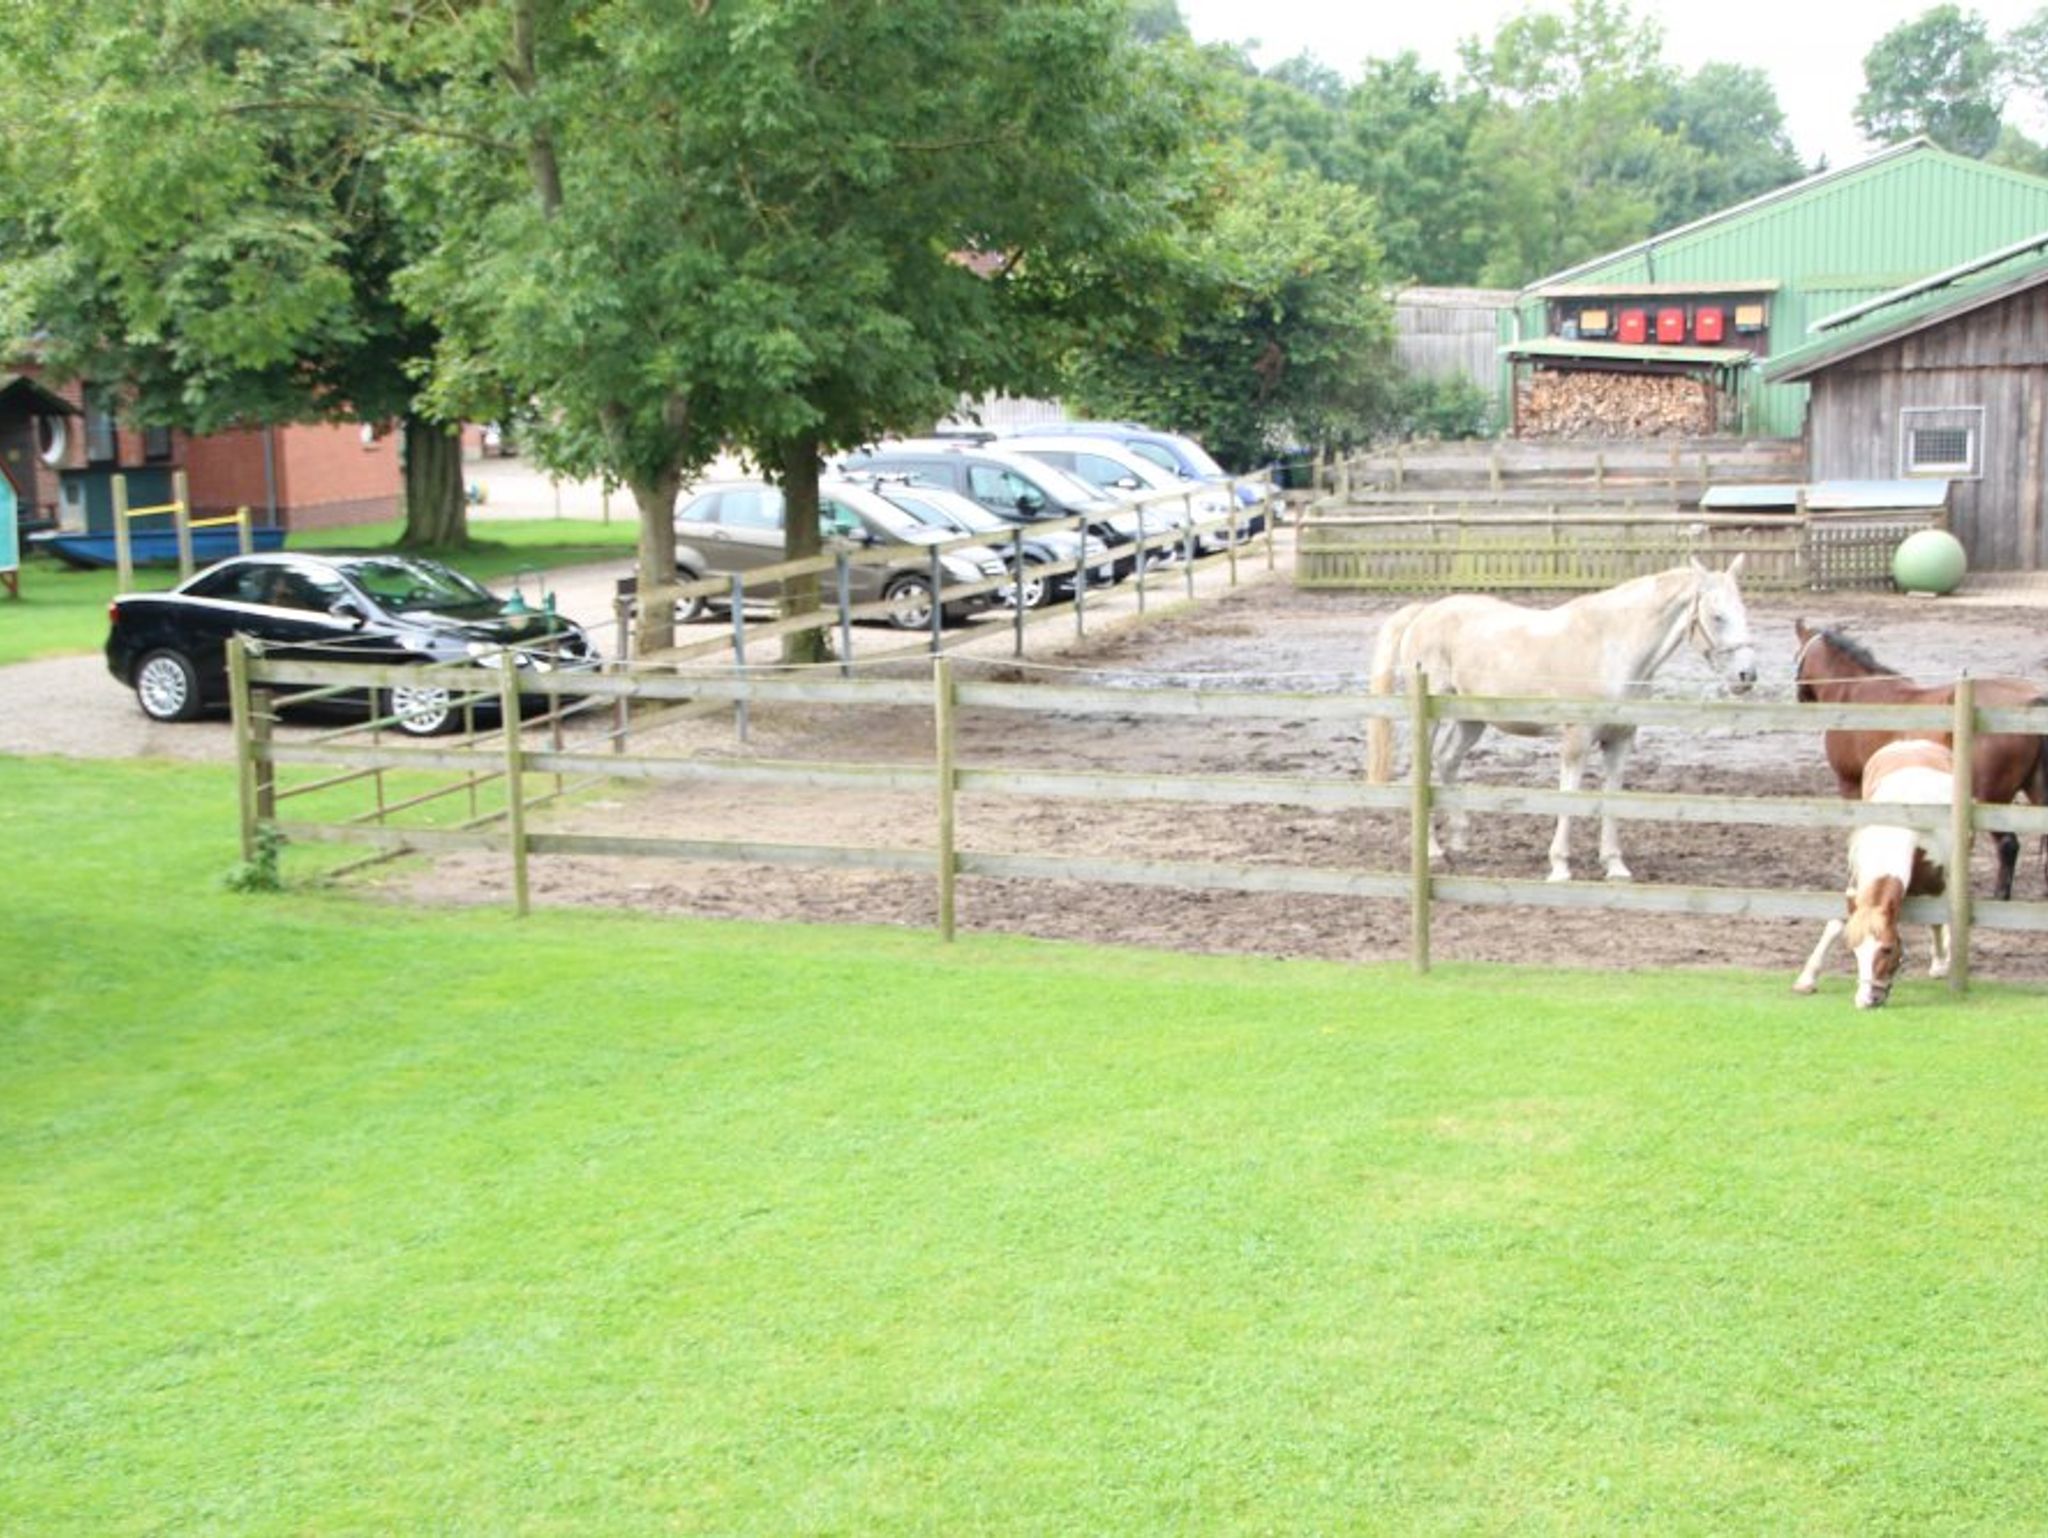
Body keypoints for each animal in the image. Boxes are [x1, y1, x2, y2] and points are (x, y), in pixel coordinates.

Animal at [1359, 561, 1761, 884]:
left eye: (1743, 610)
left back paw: (1460, 839)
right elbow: (1569, 797)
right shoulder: (1576, 740)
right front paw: (1560, 867)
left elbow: (1611, 798)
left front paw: (1615, 866)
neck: (1611, 648)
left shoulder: (1620, 740)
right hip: (1433, 718)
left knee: (1447, 762)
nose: (1746, 675)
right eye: (1717, 616)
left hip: (1472, 719)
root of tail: (1423, 613)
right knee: (1423, 770)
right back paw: (1434, 851)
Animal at [1794, 618, 2048, 901]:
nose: (1800, 696)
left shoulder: (1851, 784)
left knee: (2007, 845)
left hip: (1990, 799)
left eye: (1797, 656)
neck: (1854, 693)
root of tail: (2032, 701)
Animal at [1794, 737, 1949, 1011]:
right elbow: (1835, 924)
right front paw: (1807, 979)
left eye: (1887, 949)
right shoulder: (1857, 885)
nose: (1867, 1000)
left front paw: (1941, 964)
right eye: (1854, 951)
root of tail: (1912, 742)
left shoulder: (1938, 881)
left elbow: (1938, 920)